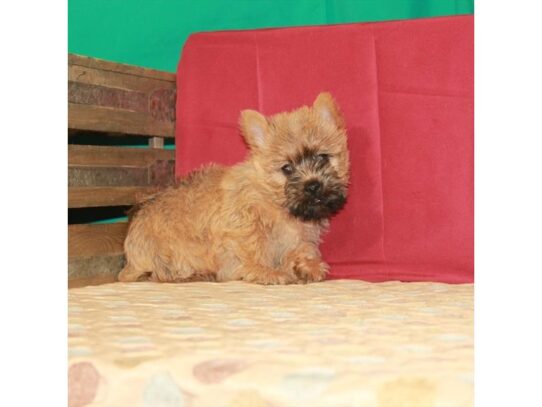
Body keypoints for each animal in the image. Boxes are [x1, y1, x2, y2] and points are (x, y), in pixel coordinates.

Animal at [118, 93, 352, 286]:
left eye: (323, 157)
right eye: (287, 168)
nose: (313, 185)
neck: (275, 202)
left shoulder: (300, 236)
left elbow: (302, 247)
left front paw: (309, 265)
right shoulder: (242, 224)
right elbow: (253, 247)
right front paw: (266, 271)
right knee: (159, 274)